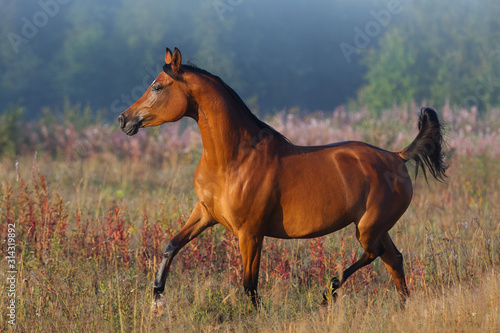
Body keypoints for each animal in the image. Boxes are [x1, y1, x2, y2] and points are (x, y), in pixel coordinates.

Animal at [119, 46, 448, 306]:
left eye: (158, 87)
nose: (124, 119)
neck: (234, 160)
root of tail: (397, 156)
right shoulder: (205, 213)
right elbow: (171, 245)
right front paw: (157, 297)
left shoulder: (250, 233)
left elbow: (249, 284)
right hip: (377, 226)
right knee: (394, 260)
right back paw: (400, 307)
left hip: (368, 227)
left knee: (375, 254)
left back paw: (328, 292)